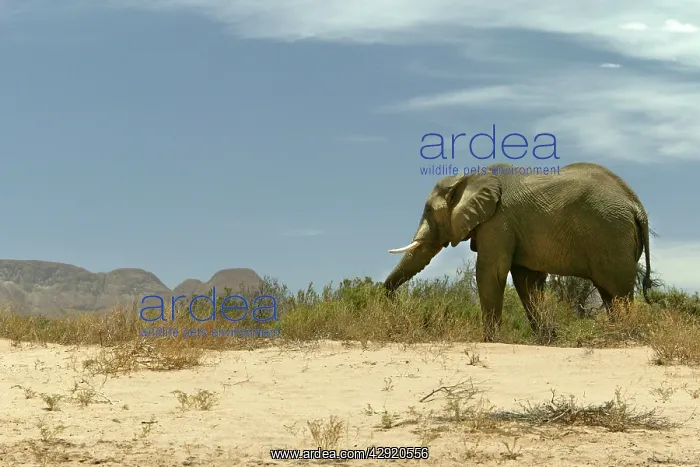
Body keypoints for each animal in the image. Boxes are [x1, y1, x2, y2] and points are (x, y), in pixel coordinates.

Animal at [383, 162, 653, 342]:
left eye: (429, 210)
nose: (392, 301)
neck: (470, 177)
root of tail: (636, 205)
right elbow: (526, 280)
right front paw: (546, 339)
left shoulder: (499, 222)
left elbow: (490, 272)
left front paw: (490, 341)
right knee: (609, 292)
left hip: (612, 233)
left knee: (618, 290)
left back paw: (627, 336)